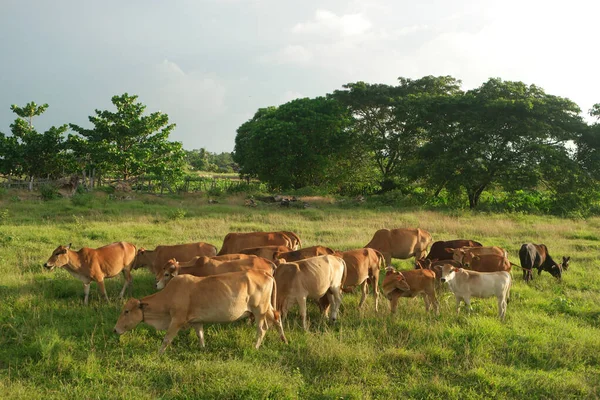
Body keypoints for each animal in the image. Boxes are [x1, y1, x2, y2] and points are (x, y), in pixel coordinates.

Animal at [115, 270, 290, 352]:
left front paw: (159, 353)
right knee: (277, 317)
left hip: (259, 310)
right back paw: (284, 340)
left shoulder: (176, 320)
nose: (115, 329)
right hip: (267, 308)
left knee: (262, 329)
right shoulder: (197, 321)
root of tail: (266, 273)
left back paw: (255, 347)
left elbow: (166, 339)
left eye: (126, 311)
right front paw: (203, 348)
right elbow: (200, 335)